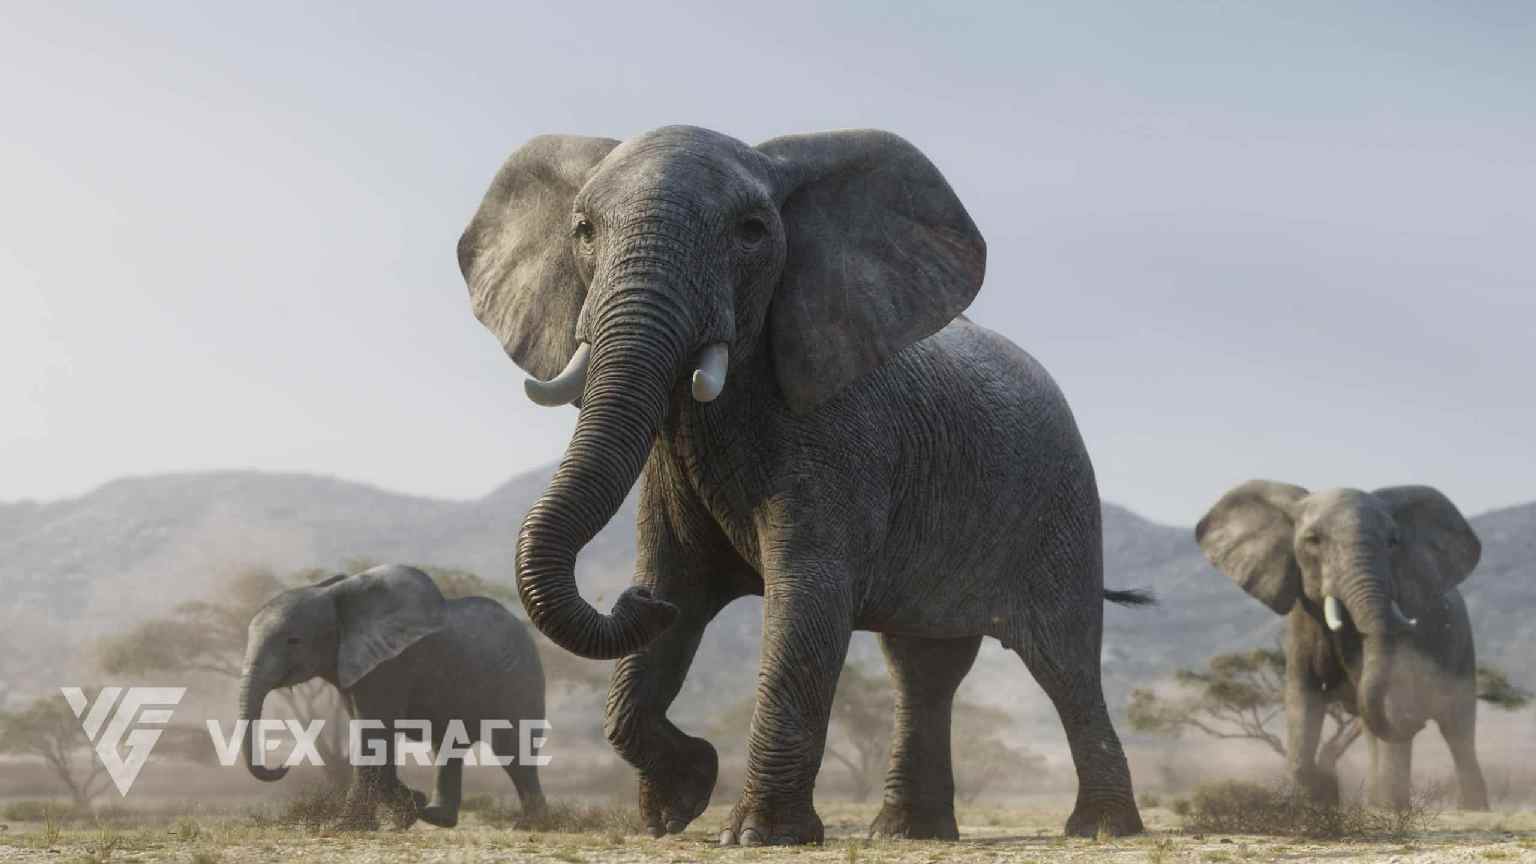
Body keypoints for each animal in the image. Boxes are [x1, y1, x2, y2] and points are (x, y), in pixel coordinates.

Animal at [238, 564, 548, 828]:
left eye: (294, 641)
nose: (283, 765)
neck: (337, 596)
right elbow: (374, 734)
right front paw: (409, 811)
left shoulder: (390, 664)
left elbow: (375, 731)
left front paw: (346, 828)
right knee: (448, 746)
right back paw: (437, 818)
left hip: (520, 680)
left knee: (513, 750)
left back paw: (529, 826)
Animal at [456, 125, 1149, 843]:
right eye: (584, 231)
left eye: (752, 231)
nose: (629, 600)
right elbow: (679, 585)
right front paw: (679, 801)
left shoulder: (840, 437)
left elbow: (807, 596)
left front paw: (754, 834)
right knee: (924, 668)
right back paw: (906, 833)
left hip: (1060, 501)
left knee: (1064, 662)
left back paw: (1101, 829)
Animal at [1196, 481, 1488, 810]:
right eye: (1313, 540)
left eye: (1393, 542)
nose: (1418, 722)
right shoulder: (1301, 620)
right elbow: (1303, 700)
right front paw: (1307, 803)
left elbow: (1387, 703)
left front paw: (1387, 810)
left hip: (1463, 648)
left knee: (1457, 731)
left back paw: (1465, 808)